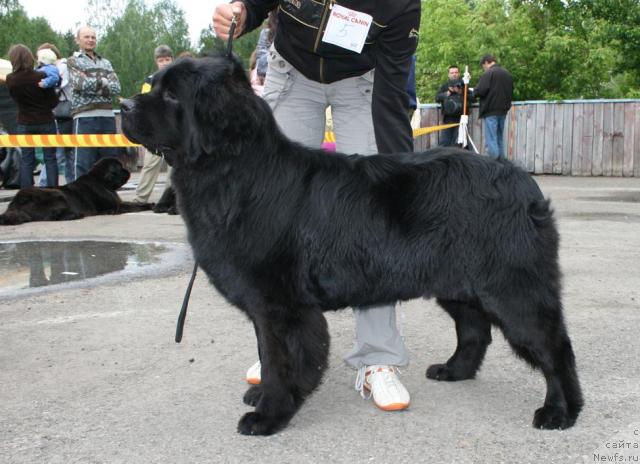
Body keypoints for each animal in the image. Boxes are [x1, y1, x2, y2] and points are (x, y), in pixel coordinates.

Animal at [0, 158, 152, 227]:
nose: (127, 171)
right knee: (51, 216)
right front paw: (148, 206)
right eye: (120, 168)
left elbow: (132, 203)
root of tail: (16, 201)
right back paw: (74, 215)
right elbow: (134, 206)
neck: (102, 182)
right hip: (57, 194)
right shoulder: (114, 207)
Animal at [121, 53, 584, 436]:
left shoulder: (281, 304)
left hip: (512, 287)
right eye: (154, 84)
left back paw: (560, 412)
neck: (234, 170)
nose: (123, 106)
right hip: (458, 283)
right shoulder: (266, 304)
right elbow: (266, 354)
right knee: (475, 330)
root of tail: (523, 182)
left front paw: (268, 414)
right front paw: (262, 395)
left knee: (552, 345)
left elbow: (280, 359)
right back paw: (454, 371)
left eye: (171, 95)